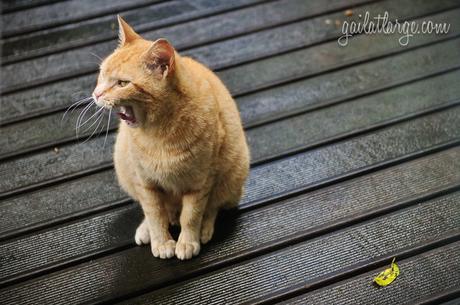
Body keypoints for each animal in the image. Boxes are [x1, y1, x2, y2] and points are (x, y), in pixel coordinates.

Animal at [92, 16, 250, 258]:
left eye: (122, 83)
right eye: (102, 74)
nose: (96, 94)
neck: (159, 133)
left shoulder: (200, 182)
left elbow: (192, 215)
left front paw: (188, 240)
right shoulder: (146, 183)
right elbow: (155, 213)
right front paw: (161, 241)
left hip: (233, 173)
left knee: (213, 206)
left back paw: (204, 228)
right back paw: (147, 229)